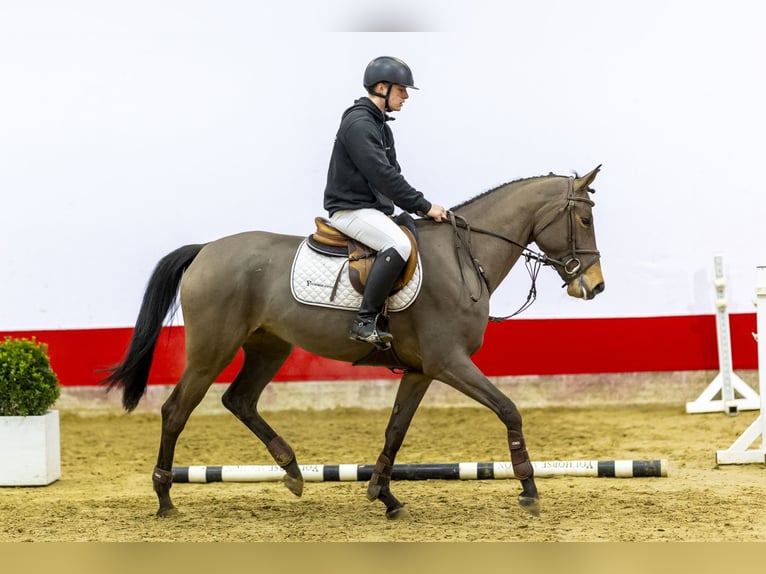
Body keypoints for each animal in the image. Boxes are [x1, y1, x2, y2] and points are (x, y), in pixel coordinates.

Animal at [103, 164, 608, 520]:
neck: (463, 258)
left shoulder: (422, 370)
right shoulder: (449, 362)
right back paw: (165, 497)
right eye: (584, 218)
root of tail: (205, 249)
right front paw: (529, 488)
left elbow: (395, 430)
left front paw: (385, 496)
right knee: (176, 411)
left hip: (269, 346)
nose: (595, 286)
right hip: (211, 352)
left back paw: (292, 471)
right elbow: (509, 409)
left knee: (239, 400)